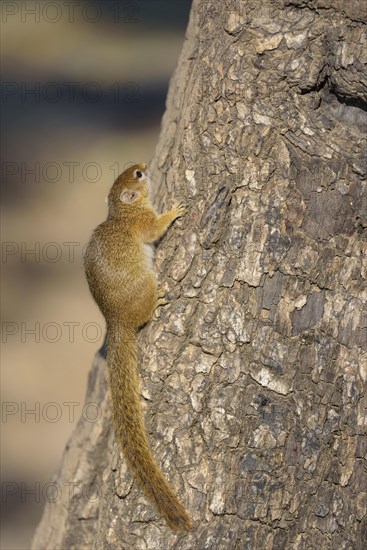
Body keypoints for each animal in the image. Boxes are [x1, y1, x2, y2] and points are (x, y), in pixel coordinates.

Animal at [84, 164, 193, 536]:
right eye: (138, 176)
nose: (142, 165)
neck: (122, 211)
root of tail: (116, 321)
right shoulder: (142, 223)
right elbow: (155, 229)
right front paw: (174, 211)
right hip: (145, 287)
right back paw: (157, 300)